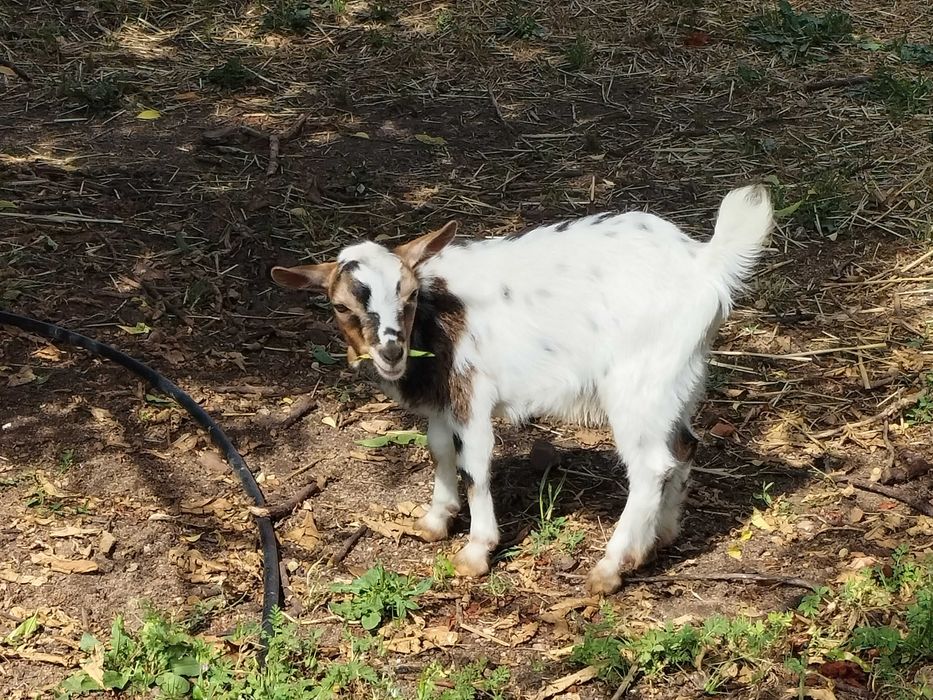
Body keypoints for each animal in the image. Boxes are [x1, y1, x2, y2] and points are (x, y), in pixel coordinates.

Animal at [271, 185, 773, 594]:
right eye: (340, 306)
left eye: (409, 295)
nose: (392, 352)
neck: (435, 315)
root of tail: (705, 266)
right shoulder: (442, 401)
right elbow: (439, 449)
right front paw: (435, 520)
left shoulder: (472, 397)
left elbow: (474, 467)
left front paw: (476, 551)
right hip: (677, 383)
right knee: (683, 447)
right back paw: (659, 538)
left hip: (636, 386)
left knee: (650, 467)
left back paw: (610, 568)